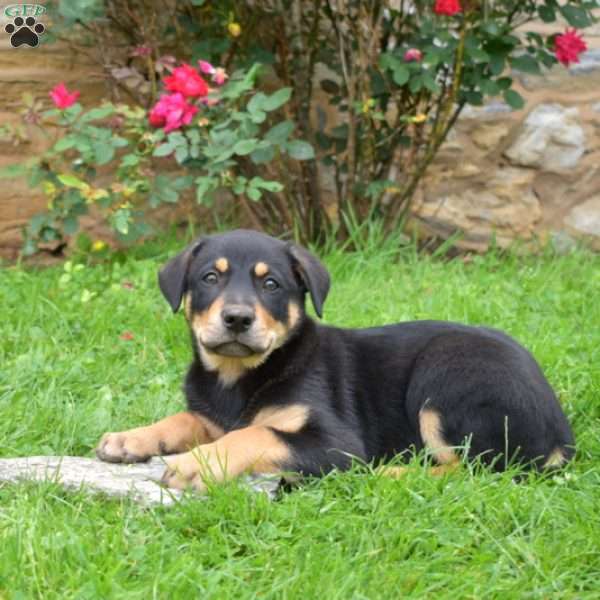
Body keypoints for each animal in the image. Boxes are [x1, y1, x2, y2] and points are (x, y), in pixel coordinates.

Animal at [96, 227, 576, 490]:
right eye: (210, 278)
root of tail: (561, 435)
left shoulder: (335, 441)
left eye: (271, 284)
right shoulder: (211, 415)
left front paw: (197, 464)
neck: (237, 377)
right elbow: (185, 419)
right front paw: (129, 438)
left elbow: (256, 434)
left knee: (479, 469)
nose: (236, 319)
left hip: (444, 376)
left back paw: (391, 474)